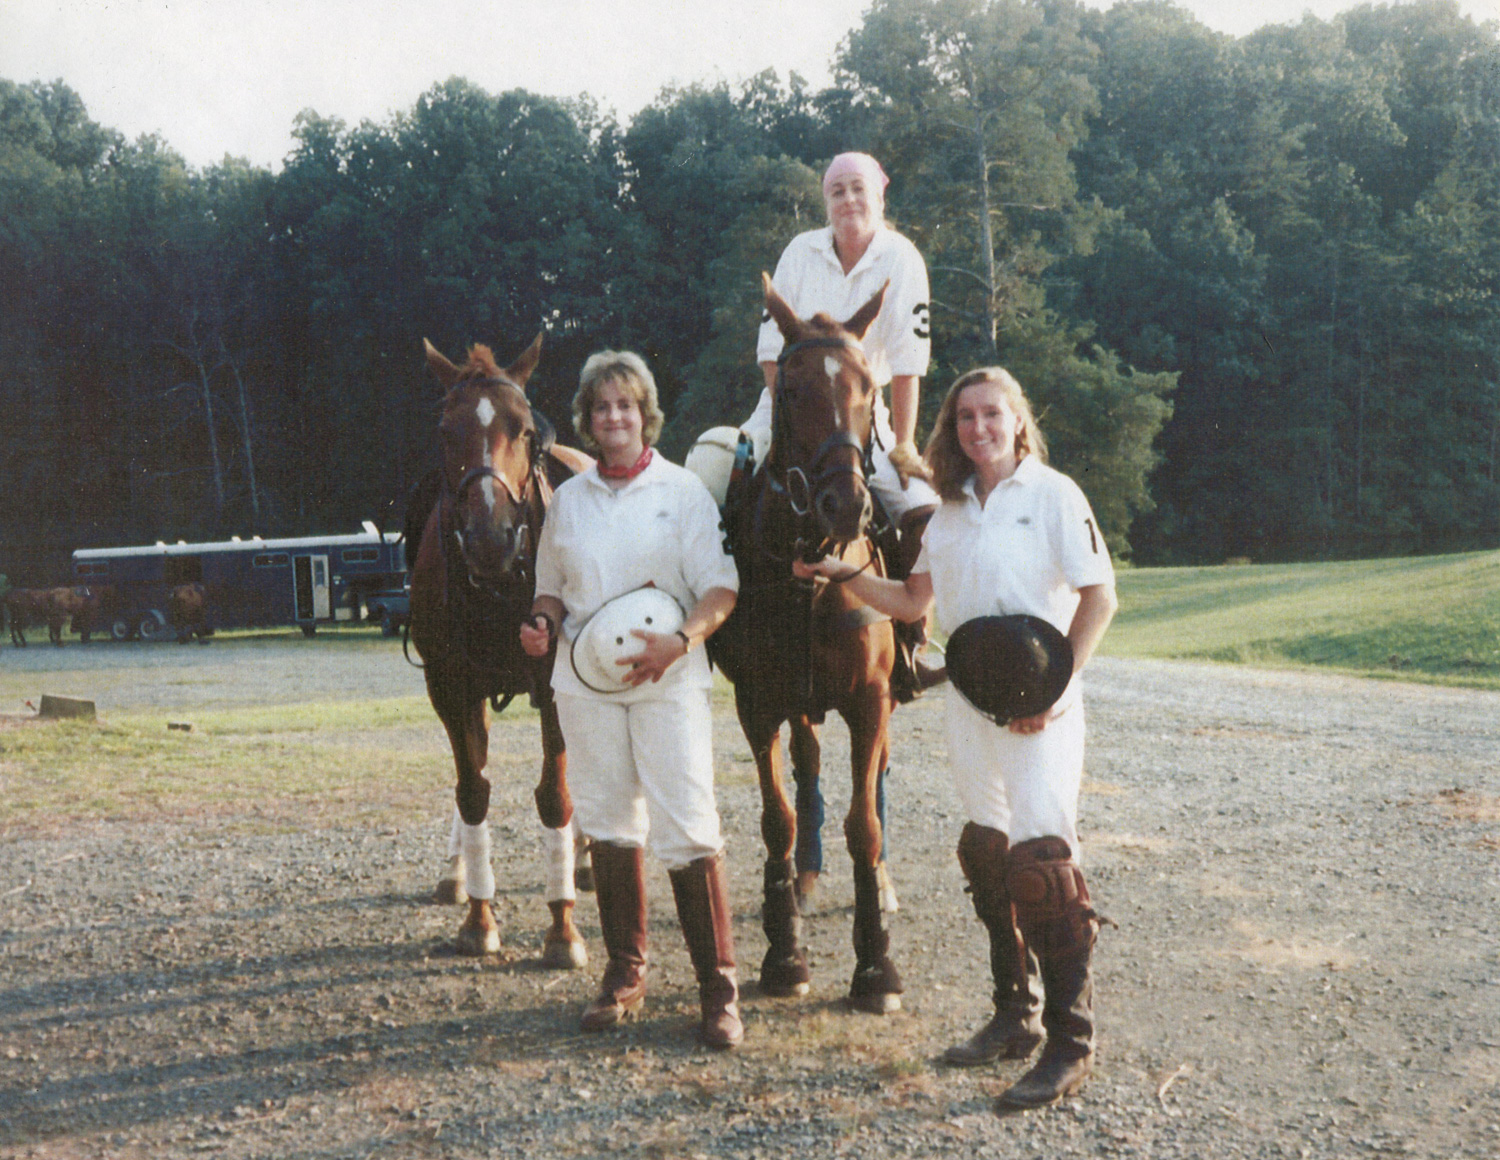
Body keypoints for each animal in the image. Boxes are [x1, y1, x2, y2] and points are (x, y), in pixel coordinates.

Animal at [411, 333, 597, 960]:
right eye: (446, 431)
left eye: (524, 429)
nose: (490, 537)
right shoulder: (450, 688)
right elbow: (473, 790)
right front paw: (478, 916)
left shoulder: (556, 689)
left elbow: (555, 796)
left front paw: (562, 927)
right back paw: (455, 874)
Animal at [705, 276, 900, 1008]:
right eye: (791, 391)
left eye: (868, 386)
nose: (846, 505)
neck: (808, 572)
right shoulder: (758, 705)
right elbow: (779, 819)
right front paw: (784, 950)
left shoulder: (871, 700)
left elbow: (864, 824)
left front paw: (875, 964)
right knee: (808, 764)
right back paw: (804, 883)